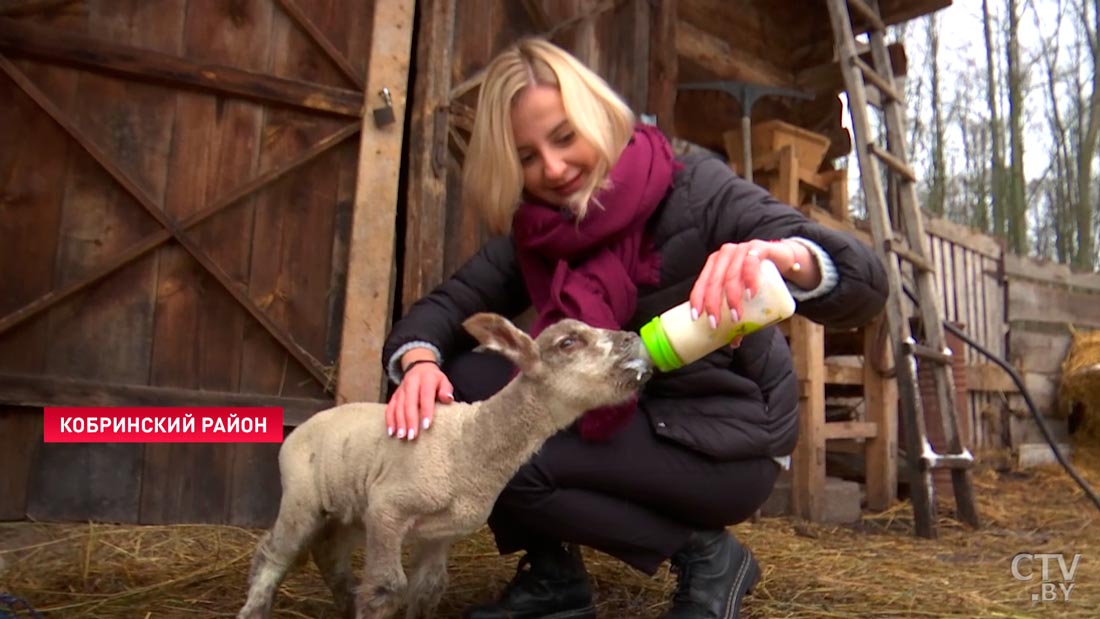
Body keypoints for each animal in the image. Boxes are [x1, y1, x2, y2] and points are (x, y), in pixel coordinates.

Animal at [236, 314, 646, 619]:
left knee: (329, 554)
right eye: (568, 343)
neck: (467, 444)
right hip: (302, 496)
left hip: (351, 508)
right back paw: (255, 609)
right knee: (273, 554)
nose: (633, 339)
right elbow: (386, 587)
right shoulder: (389, 508)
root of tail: (302, 427)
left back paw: (346, 602)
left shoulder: (440, 533)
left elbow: (427, 589)